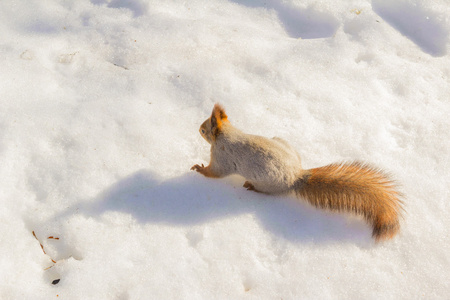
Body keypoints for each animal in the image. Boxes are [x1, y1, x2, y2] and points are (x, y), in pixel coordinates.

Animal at [191, 103, 404, 241]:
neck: (227, 133)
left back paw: (250, 186)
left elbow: (215, 172)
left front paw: (199, 169)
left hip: (266, 181)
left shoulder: (222, 158)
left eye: (204, 130)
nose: (198, 128)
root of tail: (297, 177)